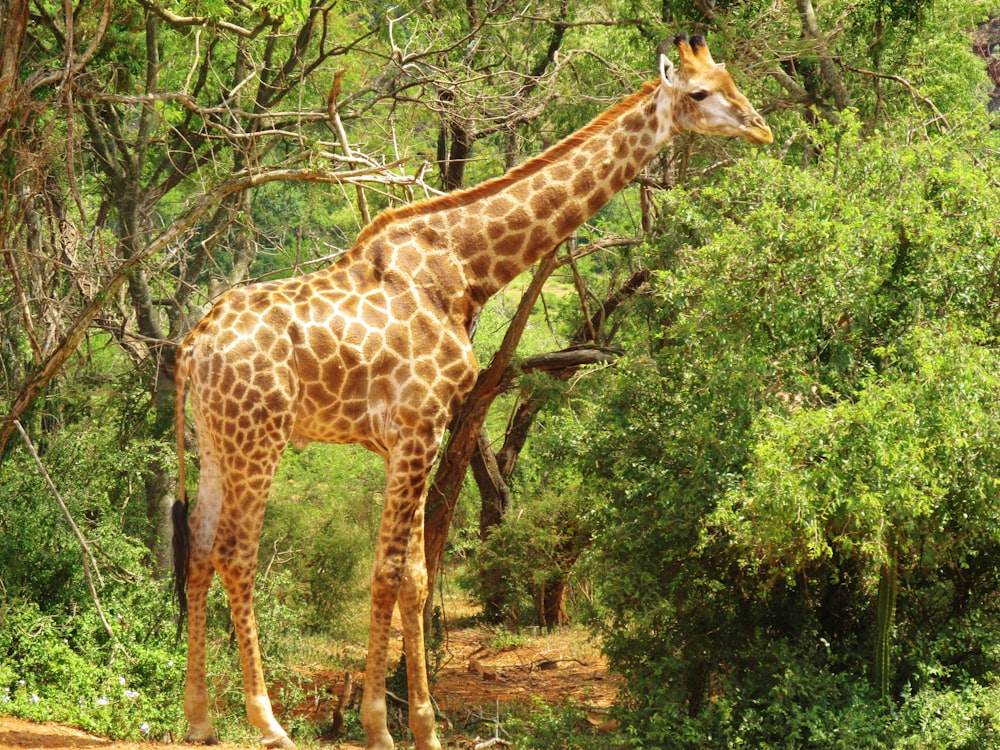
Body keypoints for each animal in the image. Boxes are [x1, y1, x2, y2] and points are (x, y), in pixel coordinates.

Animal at [174, 33, 772, 750]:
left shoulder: (407, 438)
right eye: (700, 92)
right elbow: (395, 570)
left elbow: (414, 572)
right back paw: (267, 722)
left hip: (216, 441)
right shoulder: (418, 426)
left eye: (730, 79)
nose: (762, 128)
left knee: (198, 548)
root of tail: (193, 347)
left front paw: (418, 727)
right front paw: (385, 728)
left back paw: (200, 717)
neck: (467, 268)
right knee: (236, 552)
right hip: (259, 438)